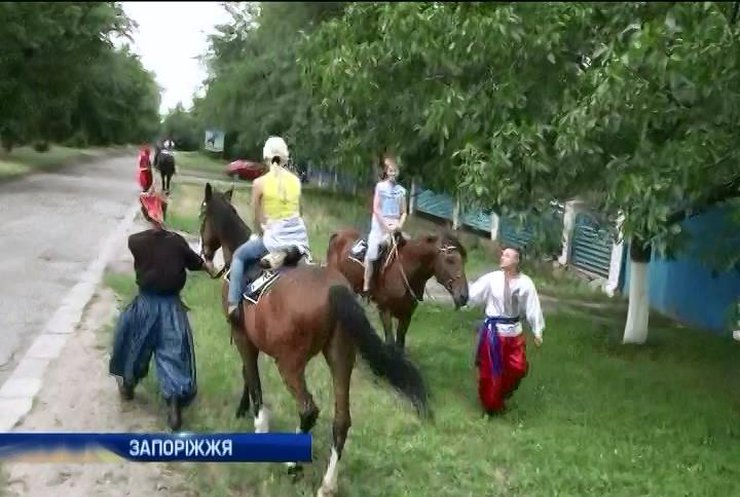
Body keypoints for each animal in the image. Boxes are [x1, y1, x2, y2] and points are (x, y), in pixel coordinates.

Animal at [198, 183, 434, 496]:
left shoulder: (242, 337)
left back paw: (293, 465)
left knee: (308, 409)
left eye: (203, 214)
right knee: (341, 420)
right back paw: (327, 484)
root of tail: (335, 289)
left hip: (290, 364)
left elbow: (253, 379)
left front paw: (255, 422)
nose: (204, 254)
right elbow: (248, 376)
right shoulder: (250, 340)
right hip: (341, 357)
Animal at [328, 227, 472, 350]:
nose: (463, 296)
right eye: (450, 259)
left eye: (464, 261)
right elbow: (391, 343)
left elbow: (399, 344)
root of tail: (339, 233)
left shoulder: (406, 315)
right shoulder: (385, 310)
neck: (405, 271)